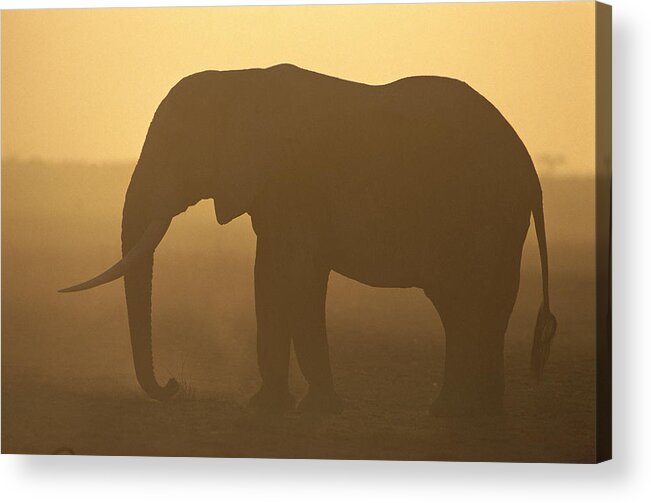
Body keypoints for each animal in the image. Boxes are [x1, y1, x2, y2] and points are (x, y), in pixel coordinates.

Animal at [61, 64, 556, 418]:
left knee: (471, 304)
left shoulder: (296, 182)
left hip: (487, 218)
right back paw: (468, 413)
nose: (173, 385)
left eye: (179, 143)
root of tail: (531, 170)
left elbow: (295, 274)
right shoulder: (273, 194)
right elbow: (270, 274)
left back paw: (459, 413)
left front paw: (308, 409)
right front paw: (274, 407)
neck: (240, 81)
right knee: (469, 309)